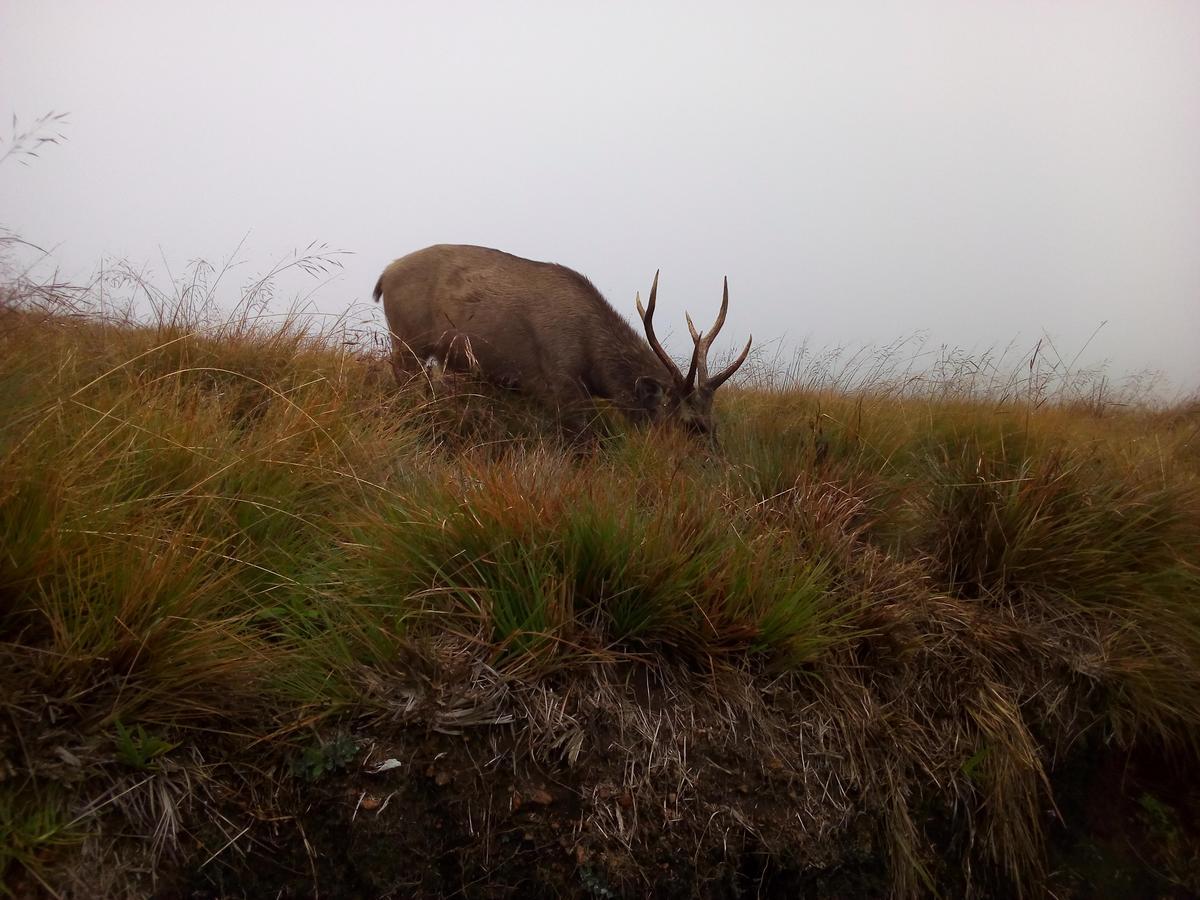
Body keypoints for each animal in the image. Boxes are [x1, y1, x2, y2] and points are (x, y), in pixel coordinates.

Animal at [374, 243, 748, 441]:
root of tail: (384, 275)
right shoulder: (559, 381)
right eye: (692, 426)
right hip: (406, 339)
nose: (718, 467)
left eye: (715, 424)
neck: (594, 364)